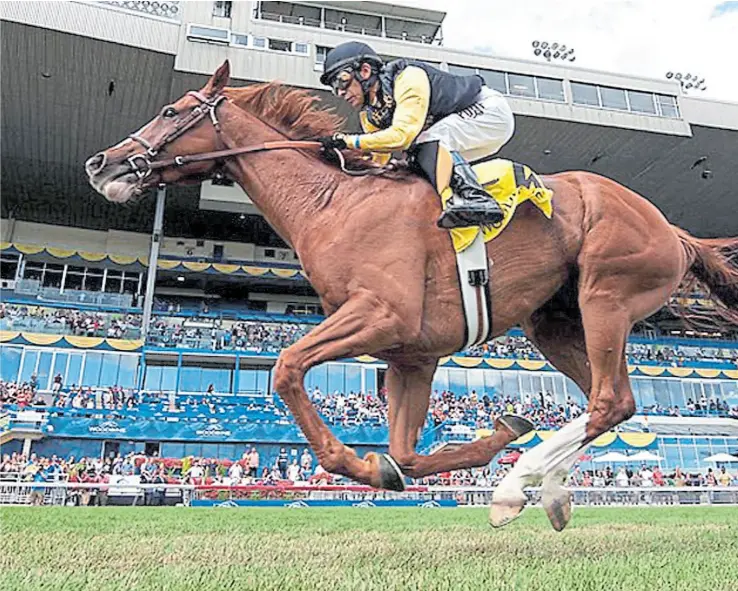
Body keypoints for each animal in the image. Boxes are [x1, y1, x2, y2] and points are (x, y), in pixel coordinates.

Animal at [83, 62, 732, 528]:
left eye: (171, 110)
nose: (101, 163)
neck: (332, 204)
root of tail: (673, 229)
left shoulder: (382, 315)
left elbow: (287, 368)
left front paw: (354, 462)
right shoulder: (411, 355)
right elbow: (408, 456)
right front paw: (479, 440)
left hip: (606, 296)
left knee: (607, 400)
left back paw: (511, 489)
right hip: (554, 321)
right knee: (613, 403)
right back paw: (539, 488)